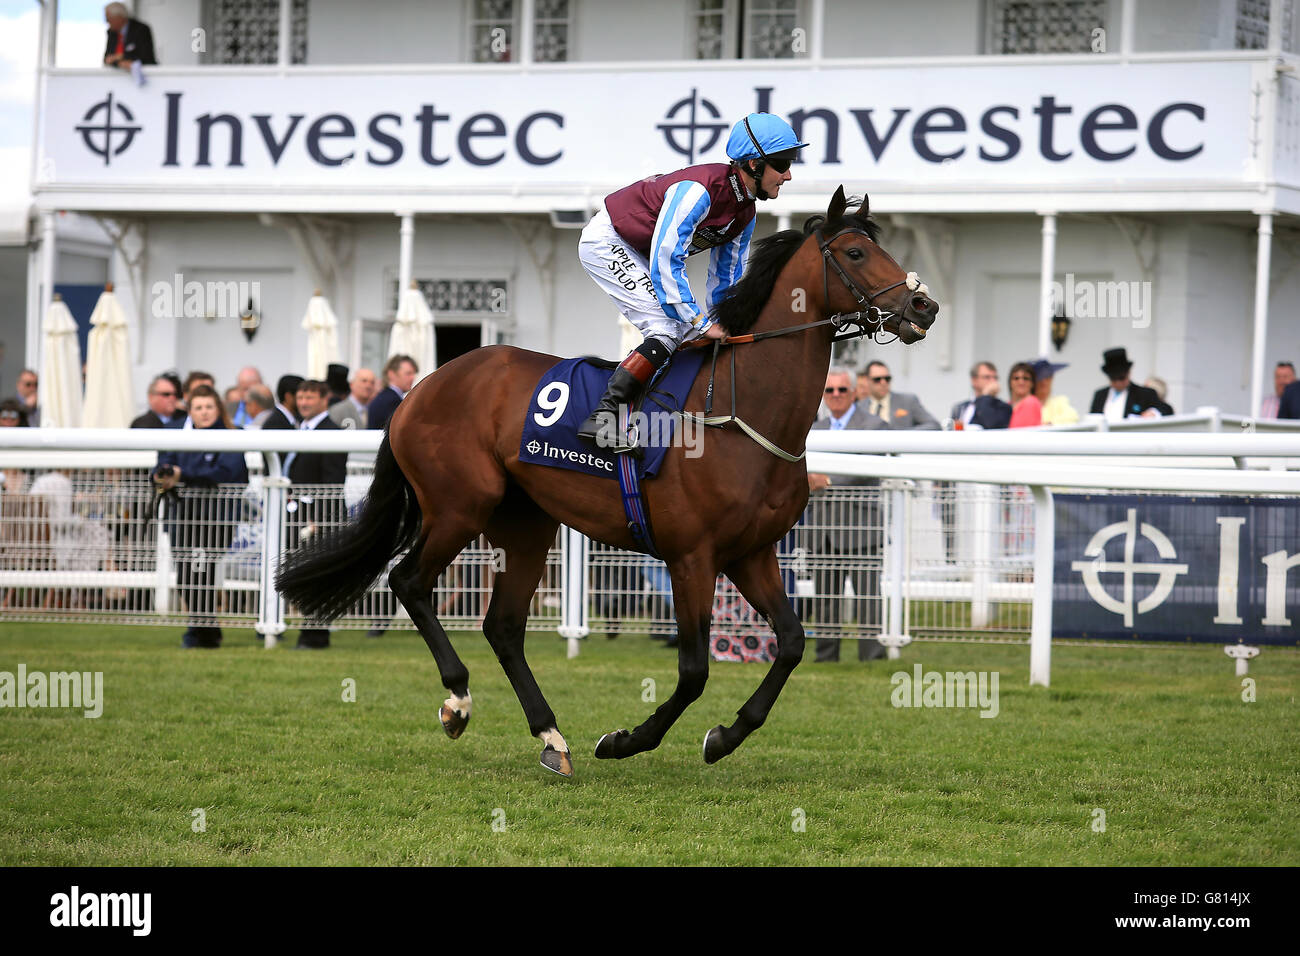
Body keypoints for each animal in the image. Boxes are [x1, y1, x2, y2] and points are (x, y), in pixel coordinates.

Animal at [279, 187, 941, 780]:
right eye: (855, 252)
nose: (923, 307)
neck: (741, 409)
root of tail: (419, 388)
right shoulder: (691, 556)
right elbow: (694, 671)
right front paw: (625, 741)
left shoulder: (751, 553)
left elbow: (794, 641)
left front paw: (724, 737)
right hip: (458, 506)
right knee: (409, 581)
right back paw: (458, 702)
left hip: (527, 522)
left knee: (503, 626)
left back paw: (551, 737)